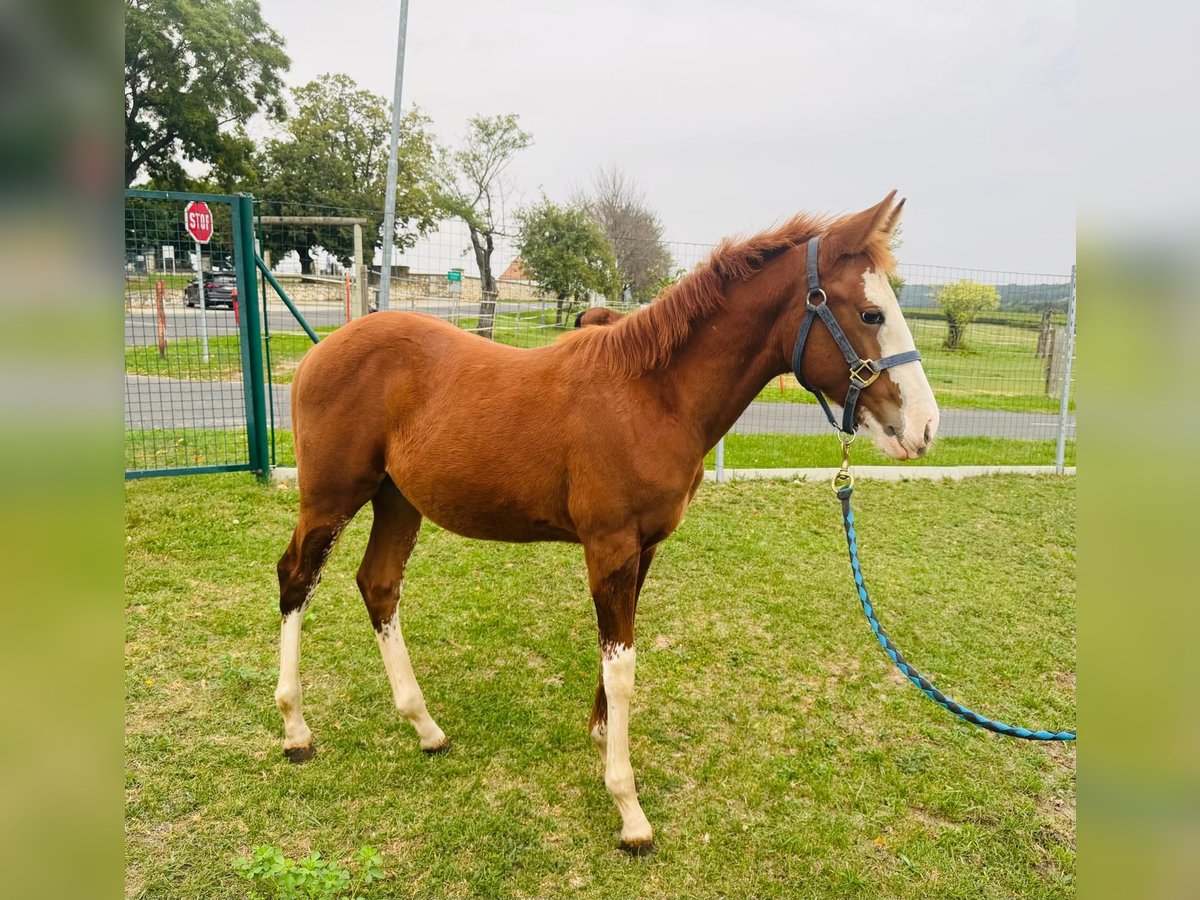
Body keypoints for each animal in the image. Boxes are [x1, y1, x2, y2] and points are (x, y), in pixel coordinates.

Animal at [273, 192, 938, 853]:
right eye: (871, 313)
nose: (924, 428)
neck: (652, 396)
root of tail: (318, 353)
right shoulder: (610, 547)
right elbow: (622, 667)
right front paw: (628, 808)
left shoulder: (643, 548)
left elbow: (616, 653)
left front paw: (600, 739)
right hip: (332, 498)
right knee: (296, 579)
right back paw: (297, 729)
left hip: (397, 501)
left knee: (379, 585)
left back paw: (425, 726)